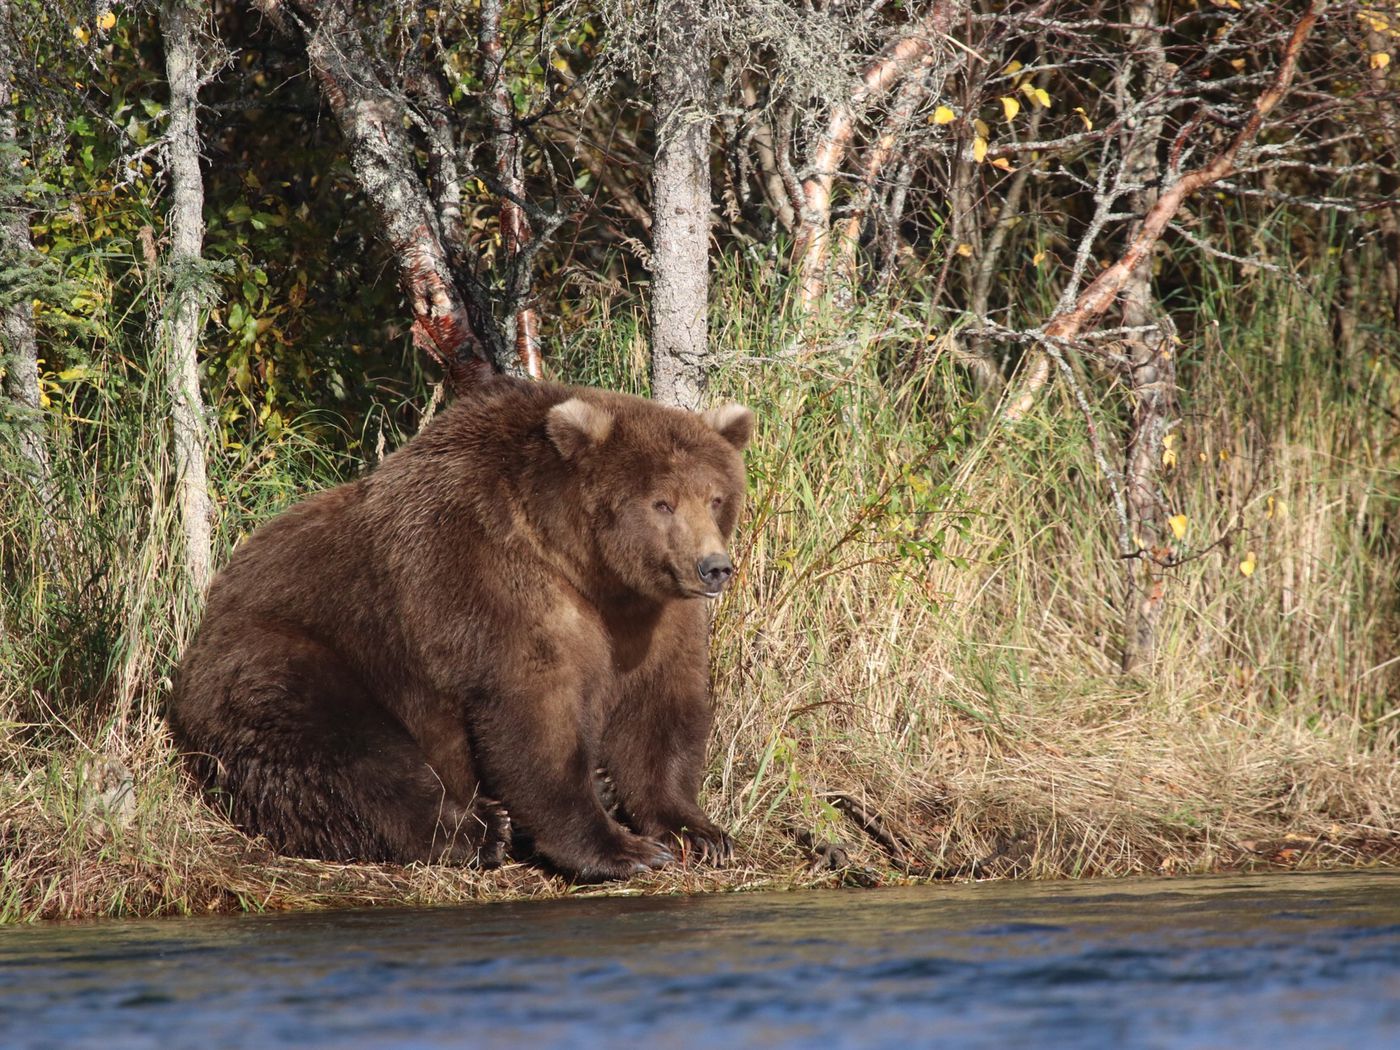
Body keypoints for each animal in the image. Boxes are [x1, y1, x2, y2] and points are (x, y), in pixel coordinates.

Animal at [167, 374, 753, 882]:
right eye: (662, 502)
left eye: (716, 497)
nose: (713, 568)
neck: (585, 567)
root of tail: (203, 626)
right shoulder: (488, 579)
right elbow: (534, 714)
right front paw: (622, 848)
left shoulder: (651, 617)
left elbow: (660, 710)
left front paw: (699, 833)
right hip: (288, 657)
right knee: (348, 755)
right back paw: (480, 829)